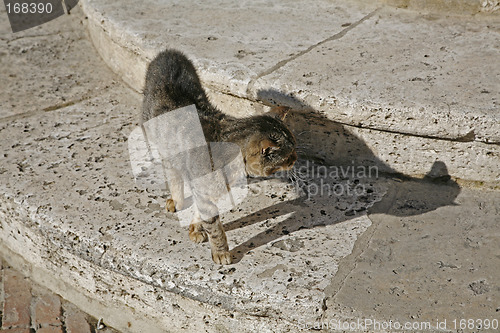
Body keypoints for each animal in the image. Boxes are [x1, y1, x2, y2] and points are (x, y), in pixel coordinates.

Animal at [141, 49, 296, 264]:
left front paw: (196, 228)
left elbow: (200, 213)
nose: (296, 159)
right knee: (171, 169)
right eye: (289, 156)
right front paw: (221, 252)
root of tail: (169, 53)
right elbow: (215, 228)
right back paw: (176, 199)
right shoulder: (204, 191)